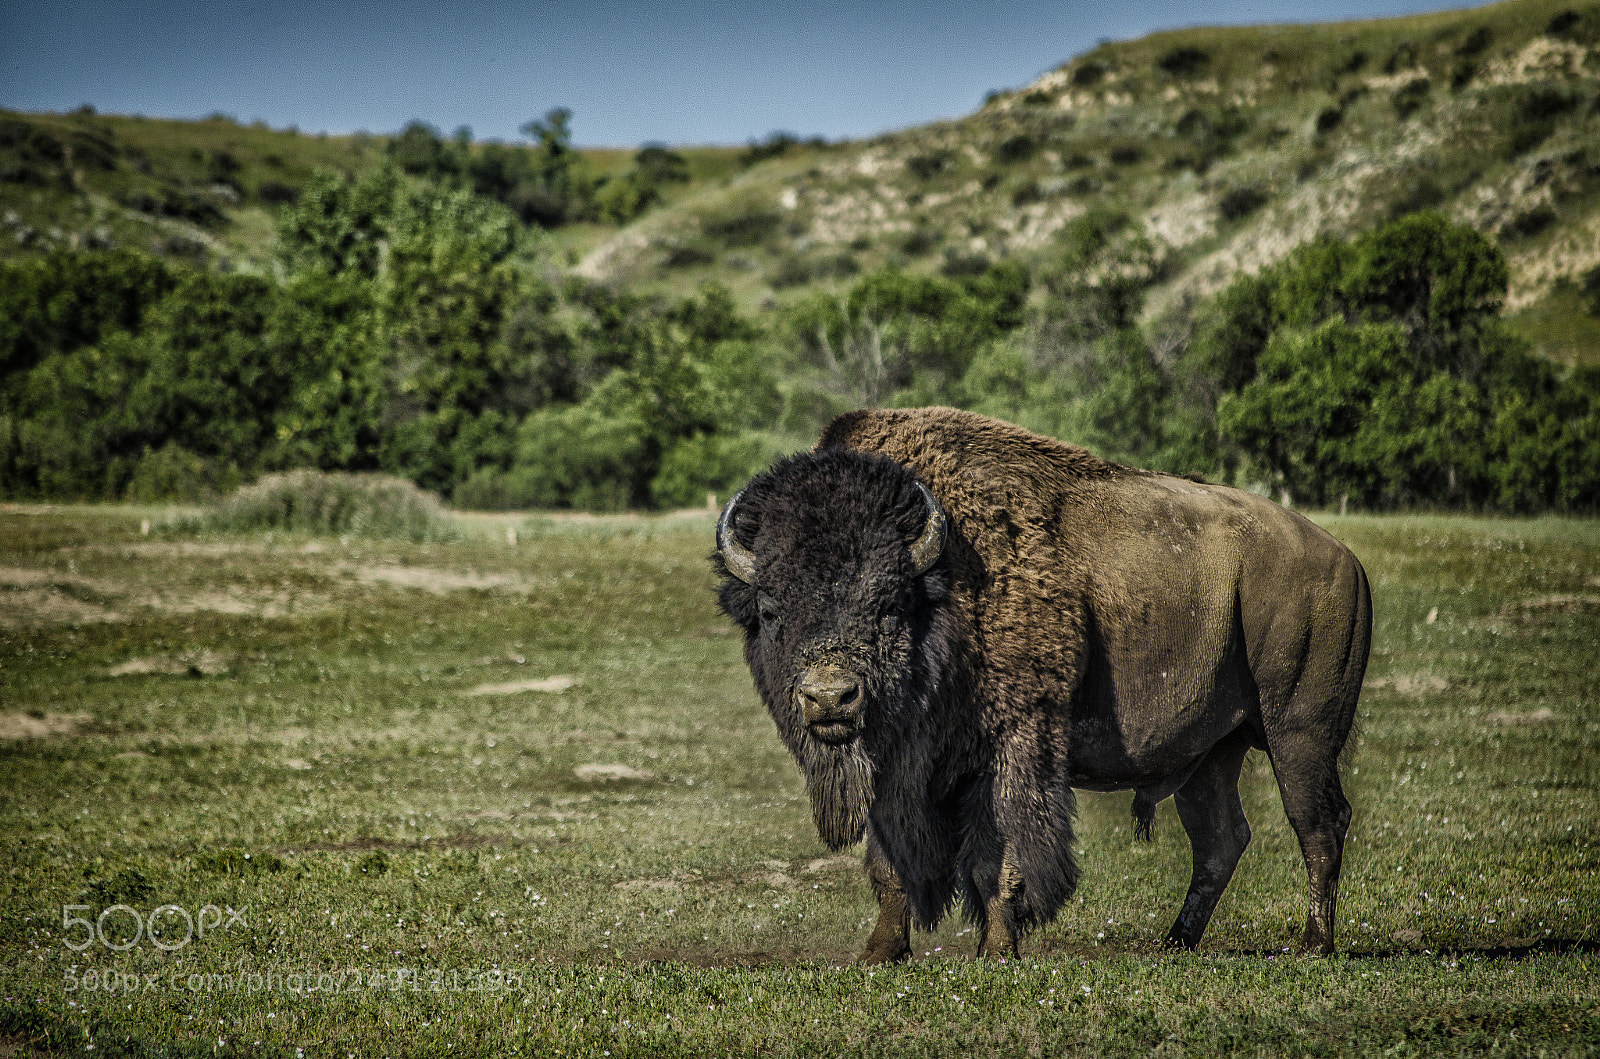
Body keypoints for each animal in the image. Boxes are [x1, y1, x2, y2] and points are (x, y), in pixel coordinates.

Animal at [715, 408, 1371, 962]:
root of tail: (1343, 558)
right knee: (1221, 839)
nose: (829, 697)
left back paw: (1313, 945)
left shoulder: (1015, 743)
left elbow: (1000, 856)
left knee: (1318, 821)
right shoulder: (894, 770)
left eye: (889, 604)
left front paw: (997, 950)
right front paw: (880, 953)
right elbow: (889, 864)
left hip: (1299, 731)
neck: (945, 584)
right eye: (770, 610)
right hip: (1212, 752)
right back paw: (1175, 942)